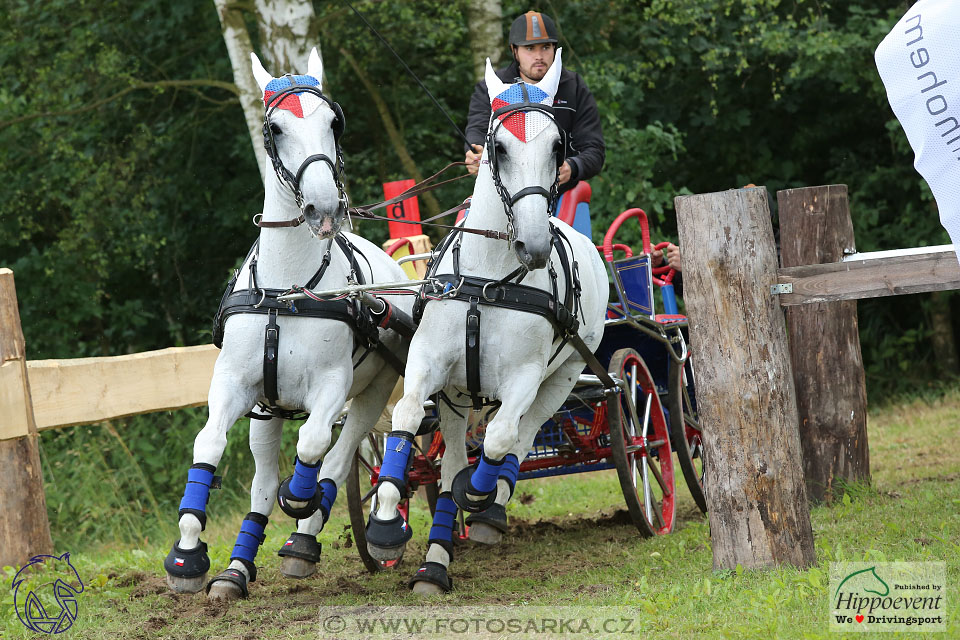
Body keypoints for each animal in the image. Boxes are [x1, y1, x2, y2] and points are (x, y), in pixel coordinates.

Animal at [165, 48, 412, 600]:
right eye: (274, 128)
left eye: (333, 123)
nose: (324, 207)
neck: (289, 291)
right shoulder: (235, 385)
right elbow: (207, 445)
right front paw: (188, 555)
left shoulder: (332, 387)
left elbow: (315, 446)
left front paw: (300, 501)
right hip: (266, 409)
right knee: (260, 483)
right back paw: (236, 569)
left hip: (373, 390)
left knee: (338, 459)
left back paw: (305, 538)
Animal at [364, 51, 604, 596]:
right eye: (498, 147)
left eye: (558, 145)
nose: (533, 246)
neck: (490, 280)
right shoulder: (428, 362)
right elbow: (406, 419)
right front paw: (386, 526)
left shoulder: (524, 377)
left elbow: (498, 439)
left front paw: (479, 498)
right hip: (457, 396)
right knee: (452, 457)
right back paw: (434, 564)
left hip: (563, 376)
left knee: (523, 433)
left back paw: (490, 508)